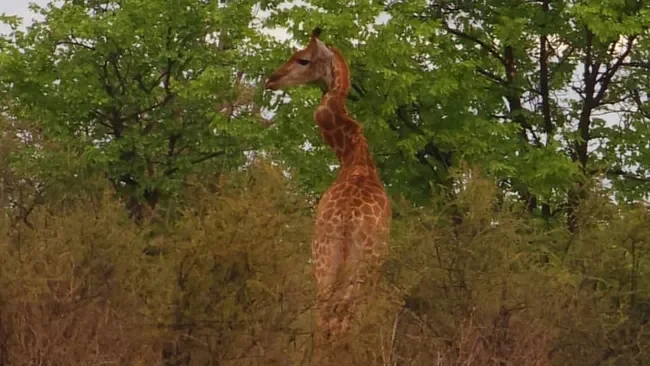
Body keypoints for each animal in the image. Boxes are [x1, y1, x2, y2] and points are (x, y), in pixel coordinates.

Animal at [264, 27, 390, 354]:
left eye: (303, 59)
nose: (271, 79)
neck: (353, 157)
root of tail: (346, 219)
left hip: (324, 258)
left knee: (325, 318)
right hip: (357, 264)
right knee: (340, 319)